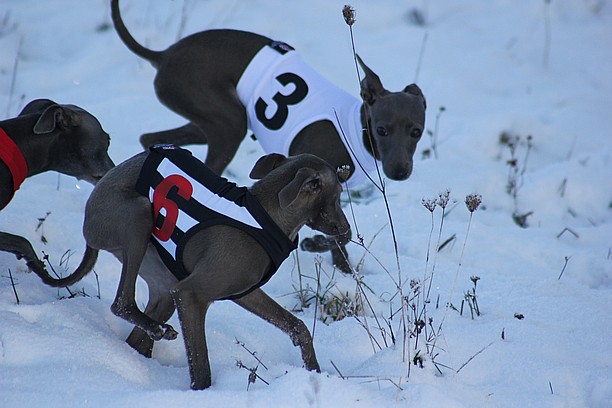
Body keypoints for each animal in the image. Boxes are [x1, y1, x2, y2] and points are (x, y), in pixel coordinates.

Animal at [40, 147, 350, 392]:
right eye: (337, 197)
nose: (346, 229)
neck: (267, 217)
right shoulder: (191, 294)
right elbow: (200, 366)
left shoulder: (245, 292)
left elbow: (298, 327)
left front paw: (314, 371)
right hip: (137, 214)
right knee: (122, 303)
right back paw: (158, 332)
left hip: (164, 283)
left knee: (137, 337)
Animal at [110, 0, 426, 274]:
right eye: (382, 130)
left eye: (416, 132)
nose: (399, 172)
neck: (354, 132)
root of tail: (164, 54)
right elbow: (339, 233)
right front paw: (316, 245)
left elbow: (339, 234)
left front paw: (343, 269)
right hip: (227, 123)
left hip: (208, 121)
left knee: (149, 136)